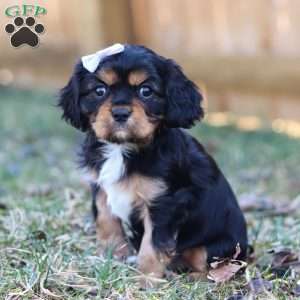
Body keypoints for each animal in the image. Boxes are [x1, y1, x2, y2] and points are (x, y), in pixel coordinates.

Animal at [58, 44, 246, 278]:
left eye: (146, 91)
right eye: (99, 91)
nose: (120, 112)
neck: (122, 148)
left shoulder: (163, 203)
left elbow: (152, 245)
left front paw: (146, 279)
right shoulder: (100, 187)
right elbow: (106, 221)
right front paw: (112, 258)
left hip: (218, 247)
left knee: (208, 262)